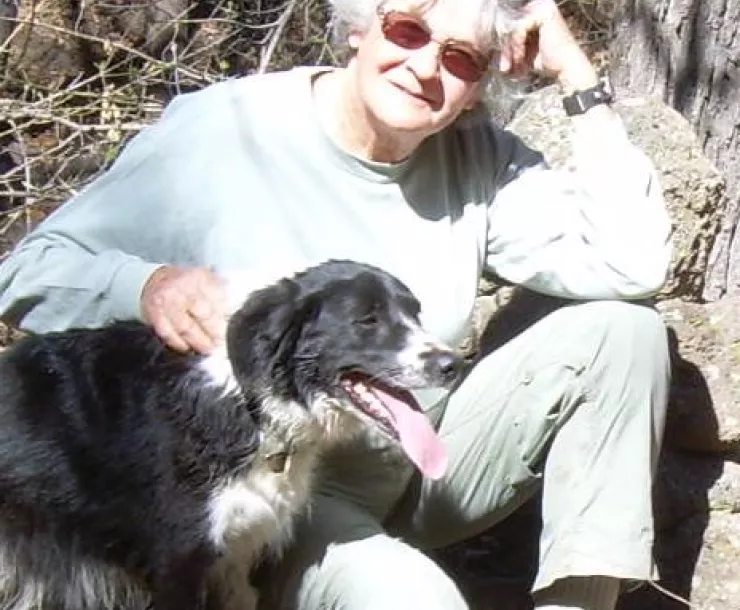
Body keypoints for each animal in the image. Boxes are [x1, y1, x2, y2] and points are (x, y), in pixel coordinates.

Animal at [0, 260, 462, 608]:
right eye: (367, 319)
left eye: (416, 313)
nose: (451, 364)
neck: (248, 398)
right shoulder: (175, 564)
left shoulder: (235, 554)